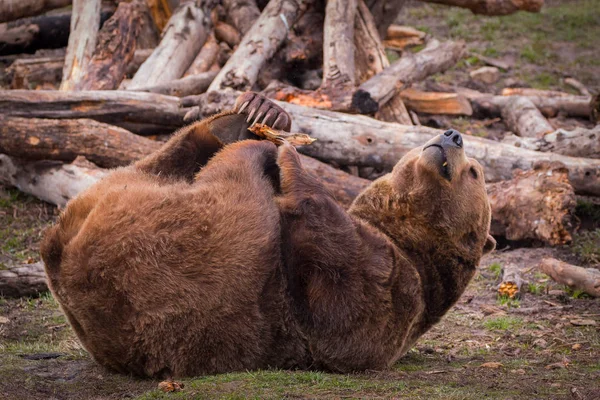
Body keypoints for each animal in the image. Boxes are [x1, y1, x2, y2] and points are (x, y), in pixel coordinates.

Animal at [39, 91, 494, 378]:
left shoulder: (395, 289)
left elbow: (342, 297)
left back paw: (255, 146)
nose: (453, 134)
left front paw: (293, 159)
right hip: (124, 197)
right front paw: (279, 133)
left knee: (234, 194)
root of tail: (62, 248)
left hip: (189, 256)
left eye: (475, 172)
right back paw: (256, 115)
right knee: (167, 159)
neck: (405, 233)